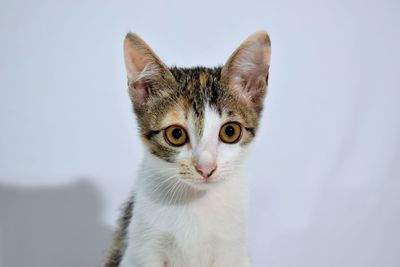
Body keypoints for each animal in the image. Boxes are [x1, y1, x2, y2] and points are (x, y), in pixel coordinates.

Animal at [104, 30, 272, 267]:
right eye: (176, 134)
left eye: (230, 131)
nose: (206, 168)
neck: (194, 199)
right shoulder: (141, 248)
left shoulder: (232, 249)